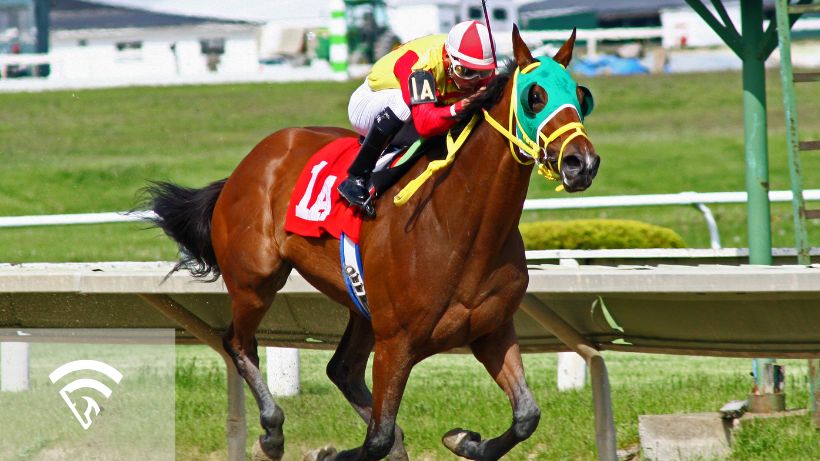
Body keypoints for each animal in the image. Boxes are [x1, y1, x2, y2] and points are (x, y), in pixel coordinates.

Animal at [146, 26, 599, 461]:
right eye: (534, 96)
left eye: (581, 95)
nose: (582, 163)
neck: (460, 227)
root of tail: (248, 164)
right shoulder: (396, 343)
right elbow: (377, 438)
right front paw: (327, 453)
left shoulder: (492, 330)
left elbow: (526, 417)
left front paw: (463, 440)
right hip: (254, 280)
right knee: (239, 344)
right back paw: (272, 433)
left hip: (360, 305)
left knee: (341, 369)